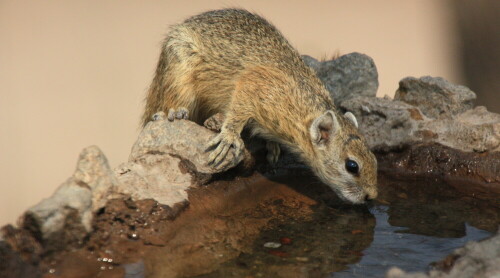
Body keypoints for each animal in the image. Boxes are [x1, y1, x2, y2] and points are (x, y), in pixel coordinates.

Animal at [141, 9, 376, 204]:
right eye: (352, 166)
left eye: (374, 158)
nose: (371, 197)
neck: (302, 109)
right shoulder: (254, 85)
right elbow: (238, 111)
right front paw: (229, 137)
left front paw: (272, 145)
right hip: (178, 72)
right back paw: (176, 112)